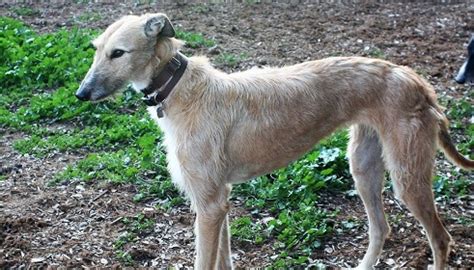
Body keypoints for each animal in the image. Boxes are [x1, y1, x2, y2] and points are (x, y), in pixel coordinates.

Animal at [76, 13, 472, 270]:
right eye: (96, 48)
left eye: (118, 53)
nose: (81, 94)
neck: (179, 87)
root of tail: (418, 81)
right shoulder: (219, 201)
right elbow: (224, 260)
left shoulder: (209, 205)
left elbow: (206, 261)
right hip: (364, 168)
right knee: (381, 228)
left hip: (407, 177)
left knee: (441, 239)